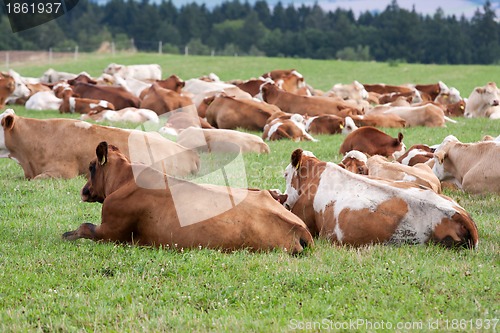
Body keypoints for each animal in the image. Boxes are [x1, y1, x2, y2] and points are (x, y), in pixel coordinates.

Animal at [62, 139, 312, 252]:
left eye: (92, 166)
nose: (84, 190)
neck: (125, 179)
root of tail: (300, 228)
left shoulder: (111, 231)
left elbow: (85, 227)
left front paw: (67, 234)